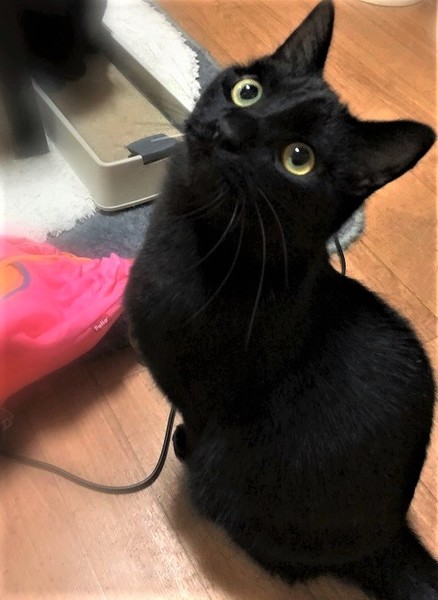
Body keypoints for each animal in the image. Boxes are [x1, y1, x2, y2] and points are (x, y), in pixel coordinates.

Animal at [124, 1, 437, 598]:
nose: (227, 128)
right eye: (247, 91)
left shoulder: (206, 402)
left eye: (298, 159)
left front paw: (182, 444)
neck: (190, 244)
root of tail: (390, 542)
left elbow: (196, 422)